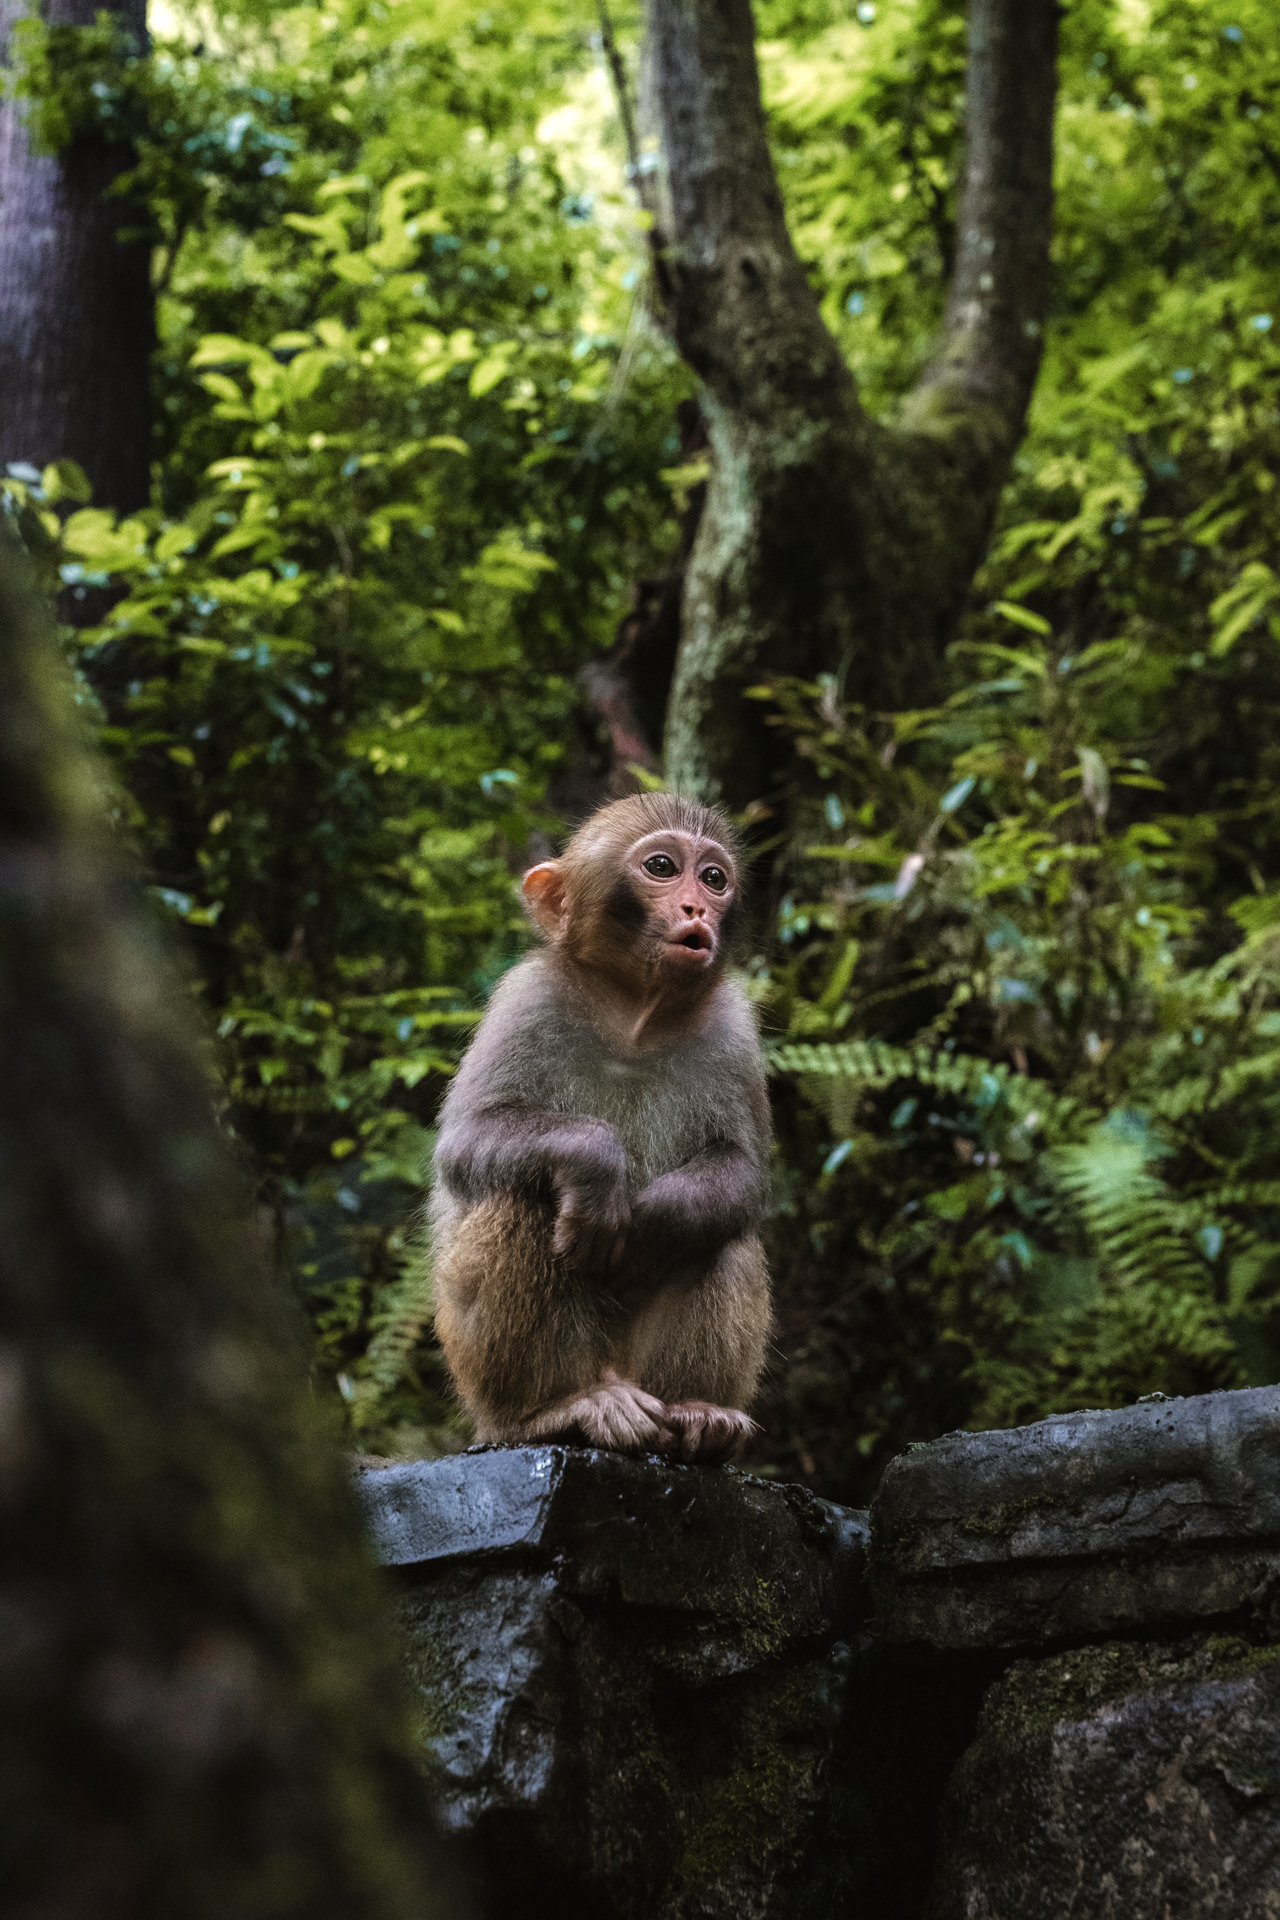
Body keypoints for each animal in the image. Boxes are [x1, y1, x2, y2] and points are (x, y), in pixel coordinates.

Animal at [429, 792, 772, 1464]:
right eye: (662, 867)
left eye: (713, 878)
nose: (696, 907)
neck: (633, 1013)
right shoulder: (526, 998)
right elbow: (466, 1141)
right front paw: (595, 1164)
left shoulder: (733, 1027)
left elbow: (743, 1170)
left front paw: (662, 1215)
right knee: (520, 1197)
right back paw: (554, 1412)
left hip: (643, 1374)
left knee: (724, 1231)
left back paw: (700, 1415)